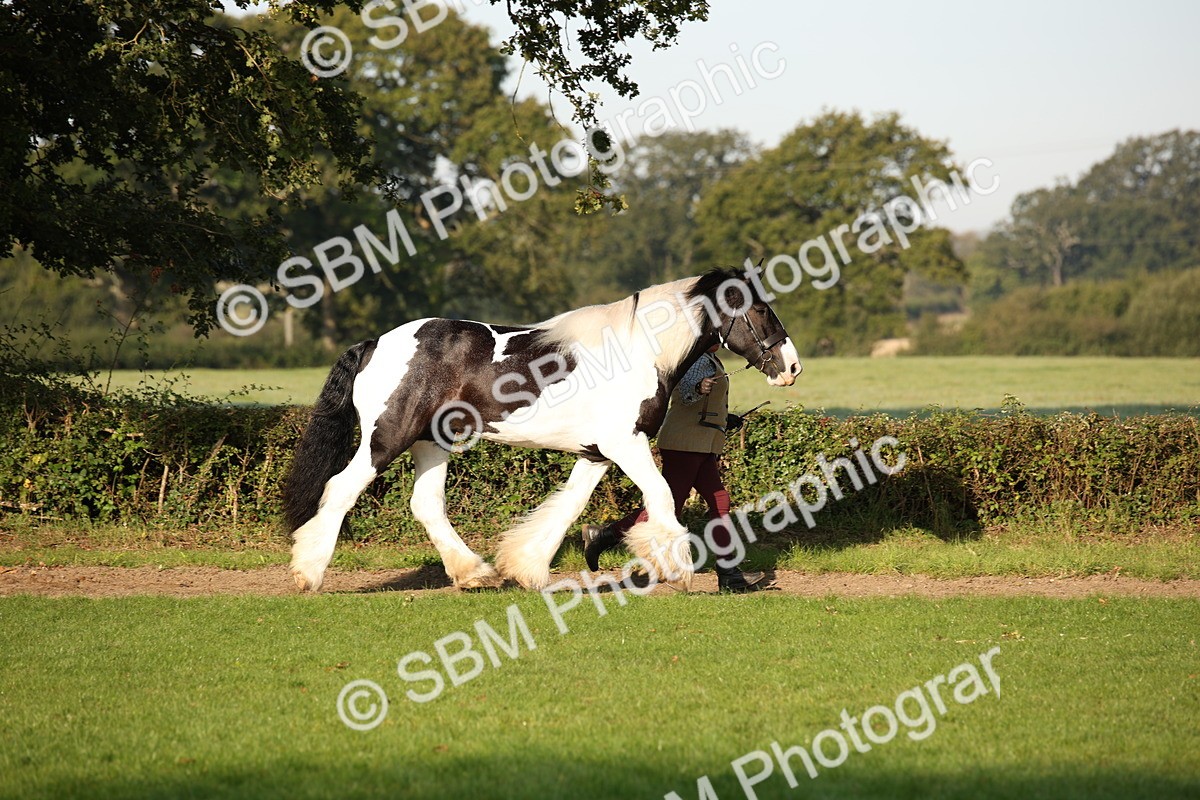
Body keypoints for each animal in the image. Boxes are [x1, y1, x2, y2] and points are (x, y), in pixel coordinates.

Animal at [282, 266, 802, 592]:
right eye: (759, 310)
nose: (791, 366)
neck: (639, 351)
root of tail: (374, 344)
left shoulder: (597, 452)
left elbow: (568, 508)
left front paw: (526, 568)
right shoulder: (626, 444)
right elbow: (660, 496)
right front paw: (677, 568)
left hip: (432, 441)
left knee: (425, 504)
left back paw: (475, 573)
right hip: (386, 438)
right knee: (341, 488)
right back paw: (308, 574)